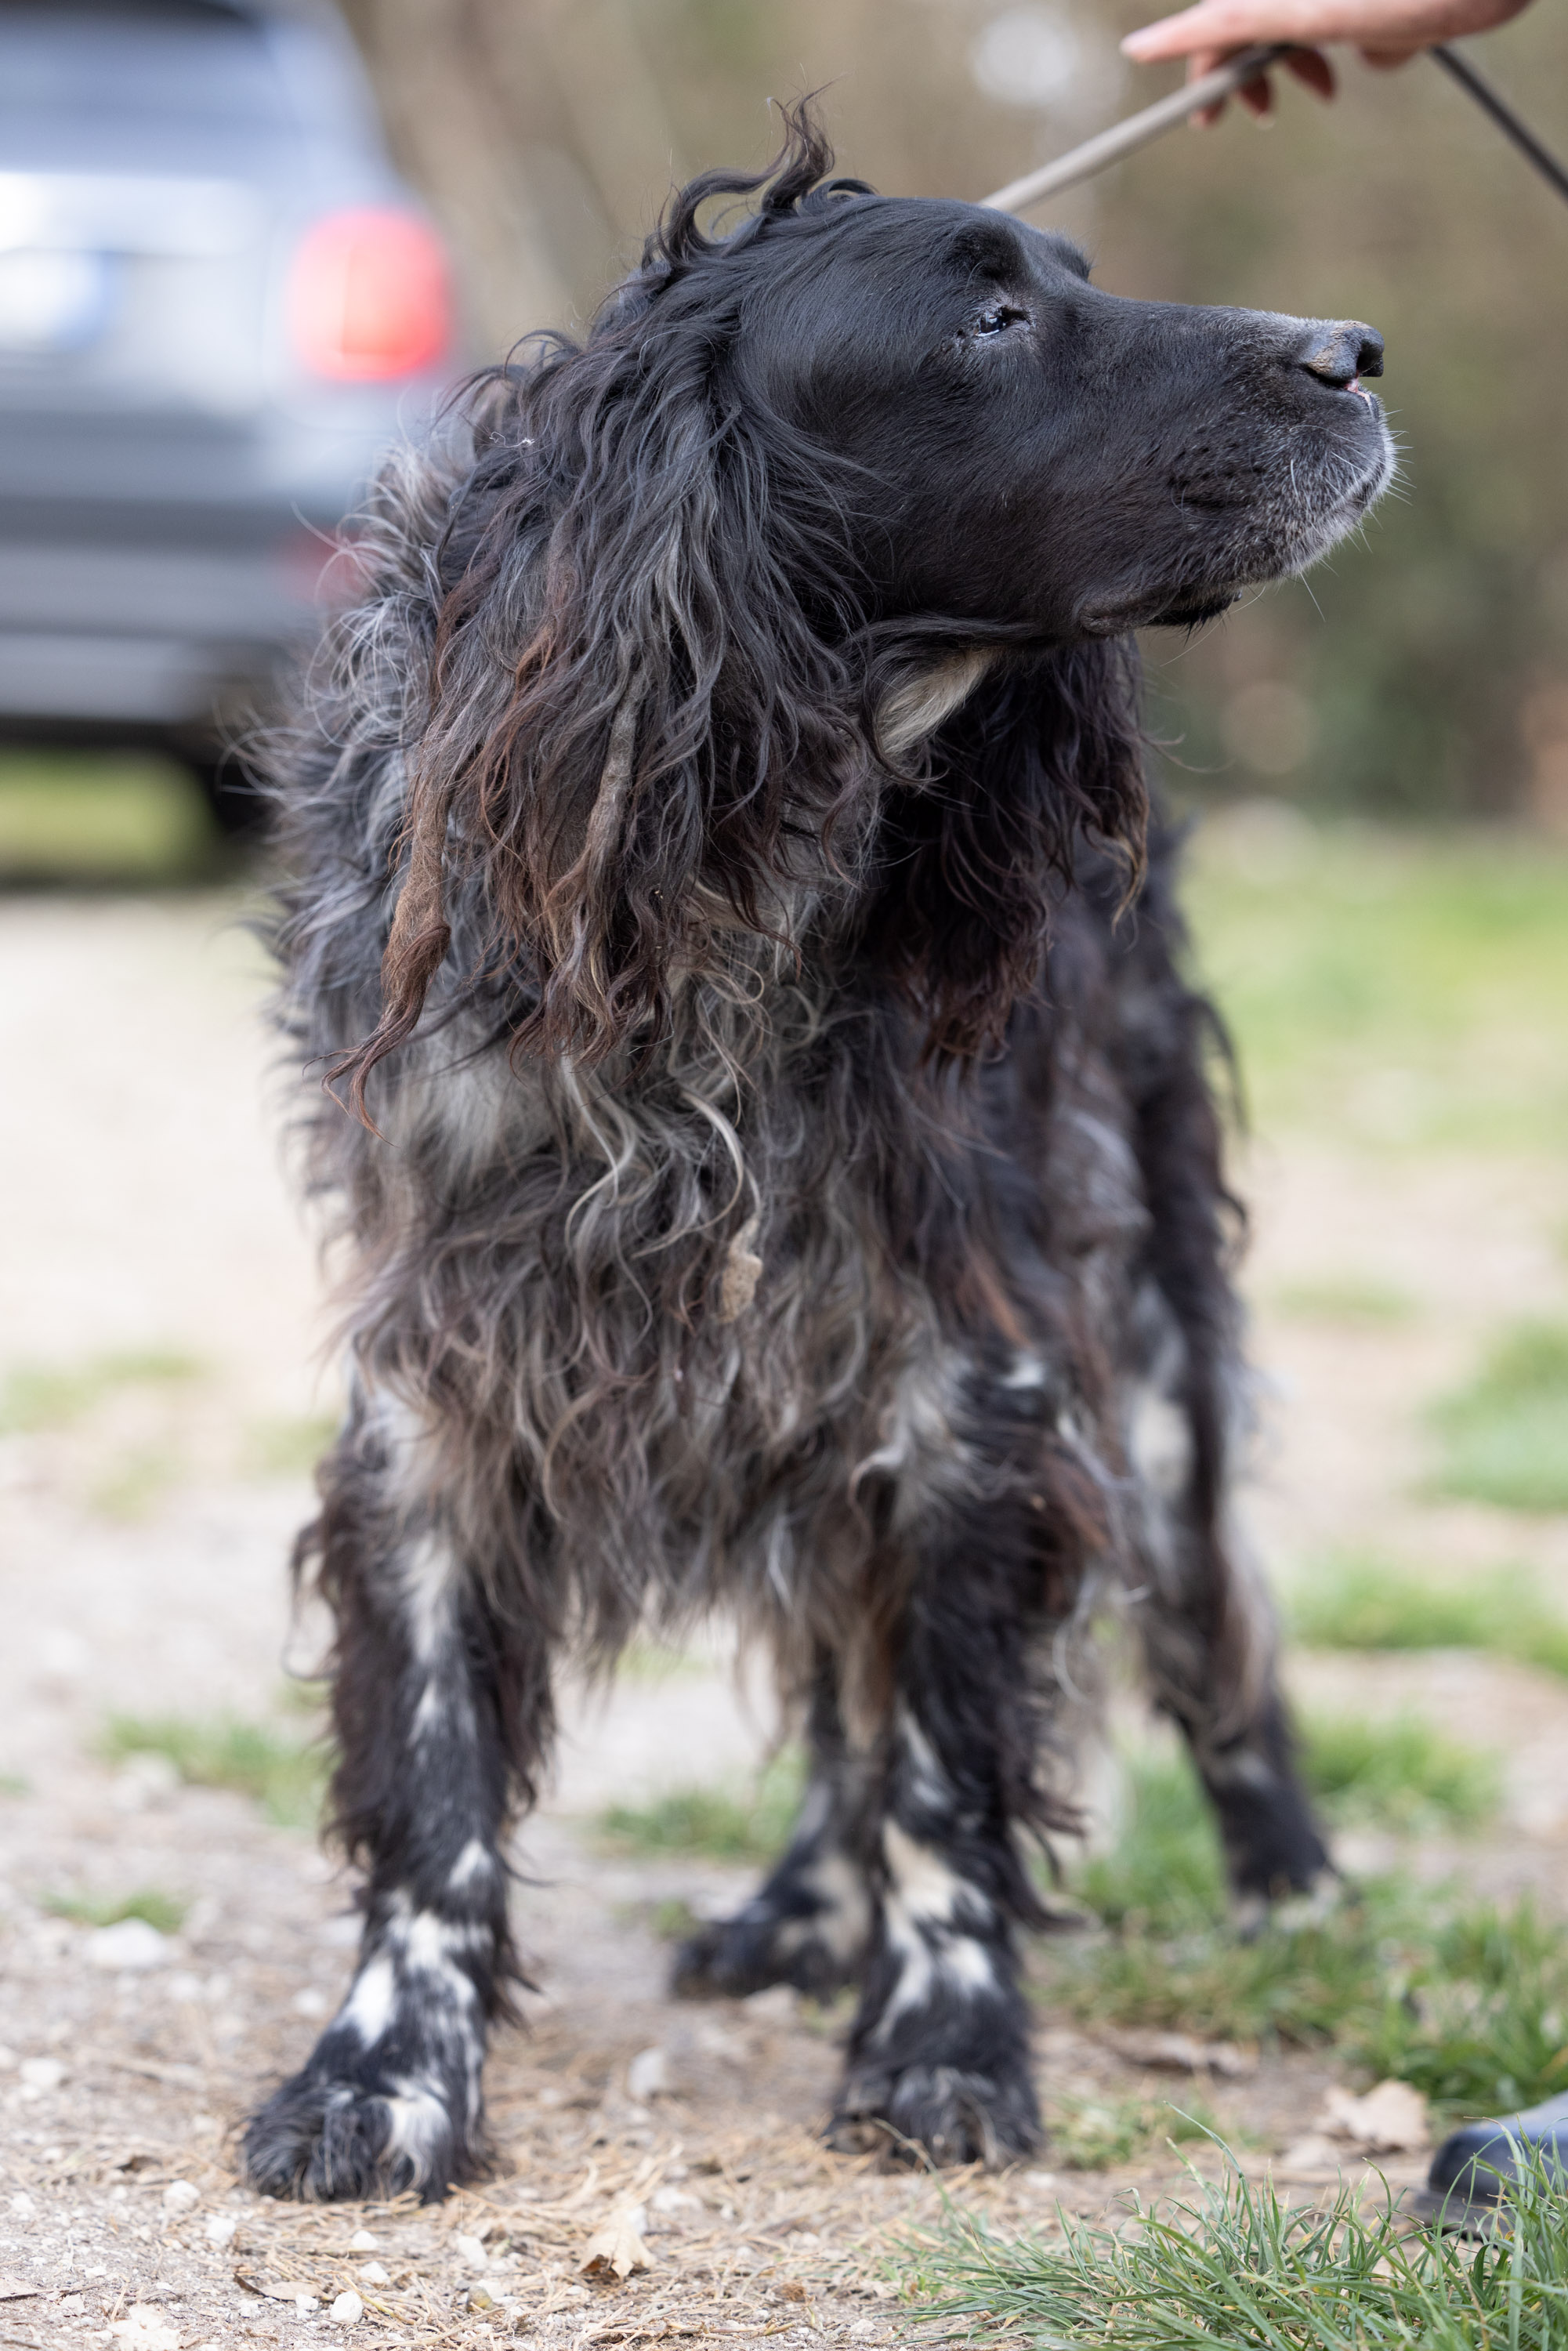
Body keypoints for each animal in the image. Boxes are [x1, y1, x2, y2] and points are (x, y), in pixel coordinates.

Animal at [247, 105, 1393, 2201]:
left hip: (1148, 1333)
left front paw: (944, 2041)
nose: (1354, 351)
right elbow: (435, 1784)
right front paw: (381, 2069)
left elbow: (943, 1769)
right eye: (992, 318)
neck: (716, 877)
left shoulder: (974, 1375)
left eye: (1069, 278)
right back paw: (794, 1901)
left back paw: (1283, 1876)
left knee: (1204, 1623)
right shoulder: (442, 1382)